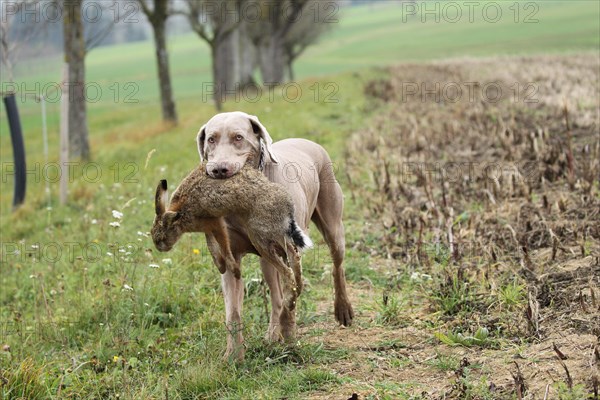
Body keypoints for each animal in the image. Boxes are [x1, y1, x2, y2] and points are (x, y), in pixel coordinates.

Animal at [197, 110, 352, 360]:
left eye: (238, 137)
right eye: (211, 139)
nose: (219, 169)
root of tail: (308, 142)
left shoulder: (290, 248)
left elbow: (293, 290)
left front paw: (289, 333)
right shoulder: (229, 258)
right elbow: (233, 312)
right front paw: (233, 355)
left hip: (332, 226)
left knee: (337, 266)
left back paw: (342, 309)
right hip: (267, 259)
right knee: (276, 294)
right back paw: (272, 333)